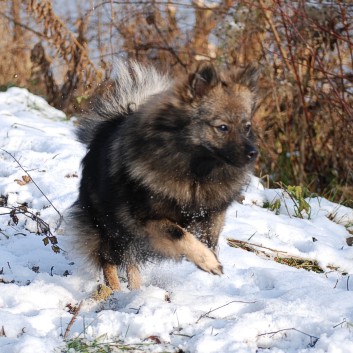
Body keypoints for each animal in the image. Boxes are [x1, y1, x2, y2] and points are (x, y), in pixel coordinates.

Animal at [71, 60, 258, 290]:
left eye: (246, 127)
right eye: (222, 127)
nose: (253, 153)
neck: (195, 171)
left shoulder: (212, 210)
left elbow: (210, 234)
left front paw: (210, 255)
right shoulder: (149, 219)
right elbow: (181, 235)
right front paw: (208, 261)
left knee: (131, 263)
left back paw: (135, 290)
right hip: (112, 227)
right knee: (109, 260)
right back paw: (115, 290)